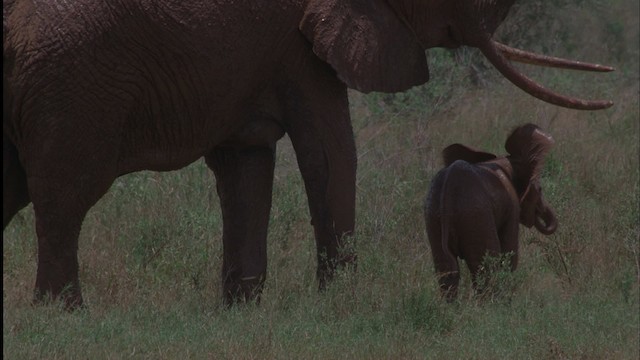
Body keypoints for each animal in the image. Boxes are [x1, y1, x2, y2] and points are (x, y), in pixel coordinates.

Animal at [424, 124, 556, 300]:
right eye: (539, 189)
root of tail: (448, 192)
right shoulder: (512, 206)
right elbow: (509, 252)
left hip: (433, 216)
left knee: (446, 270)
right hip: (475, 216)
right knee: (486, 267)